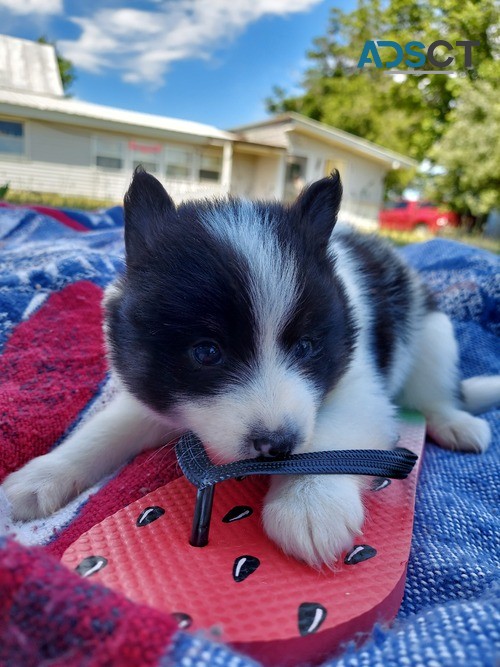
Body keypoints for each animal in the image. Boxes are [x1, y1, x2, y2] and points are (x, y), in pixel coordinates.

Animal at [1, 170, 498, 568]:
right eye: (207, 352)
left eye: (306, 347)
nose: (277, 446)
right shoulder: (155, 387)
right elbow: (108, 429)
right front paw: (44, 475)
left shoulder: (358, 387)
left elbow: (335, 439)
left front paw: (309, 502)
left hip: (433, 336)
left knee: (434, 394)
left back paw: (455, 421)